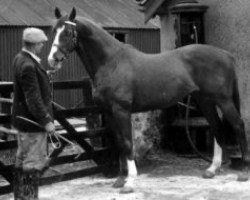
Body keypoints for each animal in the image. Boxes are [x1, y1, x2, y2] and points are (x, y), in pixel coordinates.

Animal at [47, 8, 250, 194]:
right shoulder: (109, 112)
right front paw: (120, 179)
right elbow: (119, 142)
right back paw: (212, 169)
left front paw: (130, 182)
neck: (111, 62)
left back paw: (244, 171)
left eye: (67, 32)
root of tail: (226, 55)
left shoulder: (121, 110)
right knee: (217, 127)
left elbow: (128, 142)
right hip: (205, 100)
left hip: (223, 100)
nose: (52, 59)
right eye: (53, 30)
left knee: (238, 125)